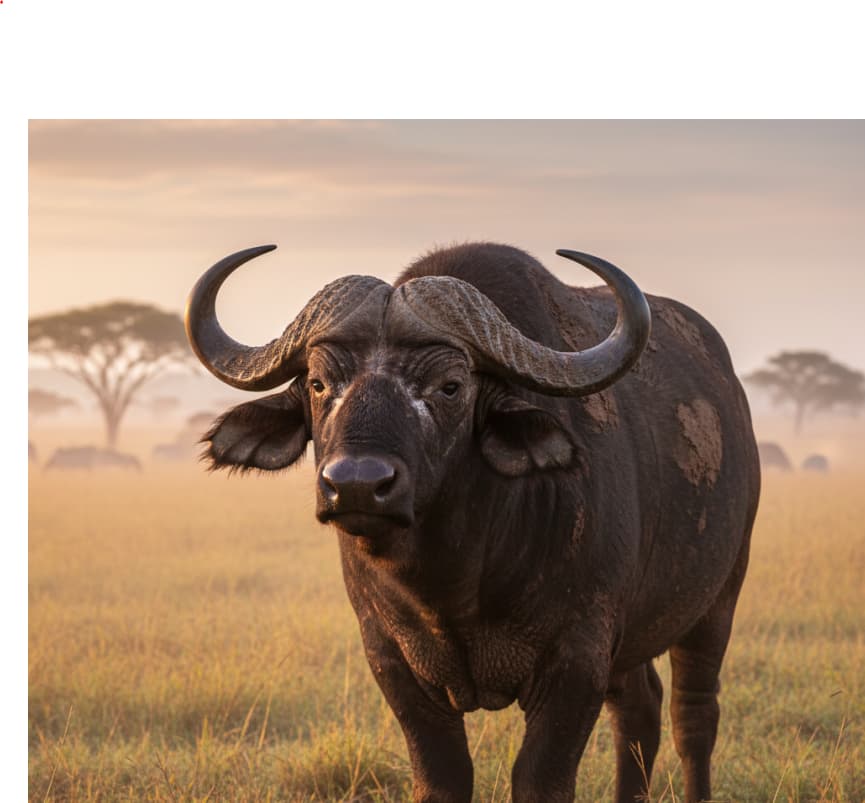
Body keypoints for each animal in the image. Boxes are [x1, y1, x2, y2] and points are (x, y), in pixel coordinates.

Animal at [186, 243, 760, 803]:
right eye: (319, 382)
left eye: (450, 385)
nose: (356, 484)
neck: (456, 579)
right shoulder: (391, 659)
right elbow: (442, 777)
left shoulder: (579, 659)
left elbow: (540, 780)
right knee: (639, 709)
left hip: (718, 602)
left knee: (693, 718)